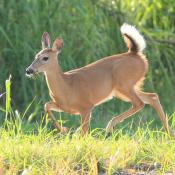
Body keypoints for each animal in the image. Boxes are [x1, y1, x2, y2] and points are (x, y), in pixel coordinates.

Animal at [26, 23, 172, 136]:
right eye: (36, 55)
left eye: (45, 58)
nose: (29, 70)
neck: (67, 86)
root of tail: (134, 52)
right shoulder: (64, 106)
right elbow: (46, 105)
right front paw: (64, 130)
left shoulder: (86, 106)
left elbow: (84, 132)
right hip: (123, 89)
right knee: (152, 97)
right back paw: (169, 134)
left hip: (123, 84)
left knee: (139, 103)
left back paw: (109, 128)